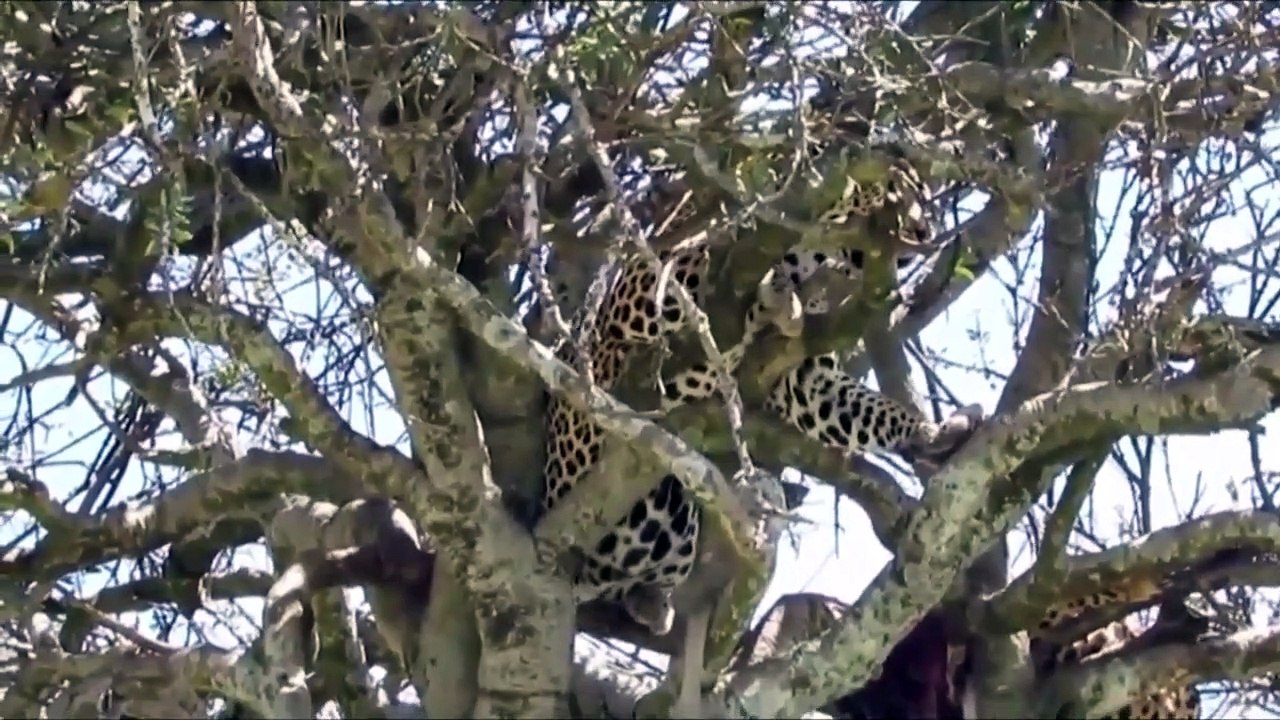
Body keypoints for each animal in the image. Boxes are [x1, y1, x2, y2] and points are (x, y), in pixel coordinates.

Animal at [537, 140, 942, 635]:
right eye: (893, 191)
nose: (924, 232)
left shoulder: (807, 381)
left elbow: (856, 409)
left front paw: (931, 433)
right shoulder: (633, 326)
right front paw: (772, 295)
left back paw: (652, 601)